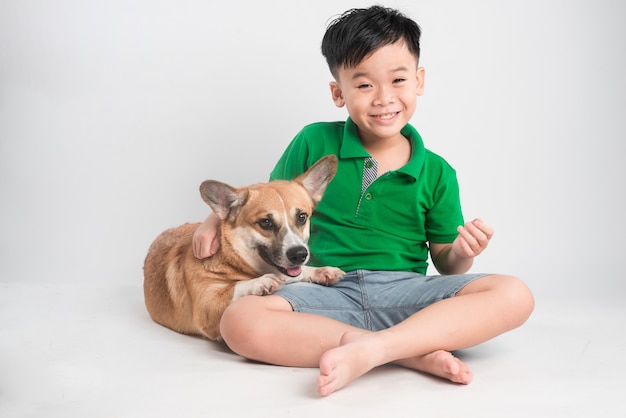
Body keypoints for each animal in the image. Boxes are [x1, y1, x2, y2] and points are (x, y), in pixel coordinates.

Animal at [144, 155, 344, 342]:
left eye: (302, 217)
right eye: (265, 222)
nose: (299, 254)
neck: (232, 258)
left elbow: (296, 273)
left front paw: (322, 271)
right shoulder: (206, 304)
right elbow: (235, 287)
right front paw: (260, 282)